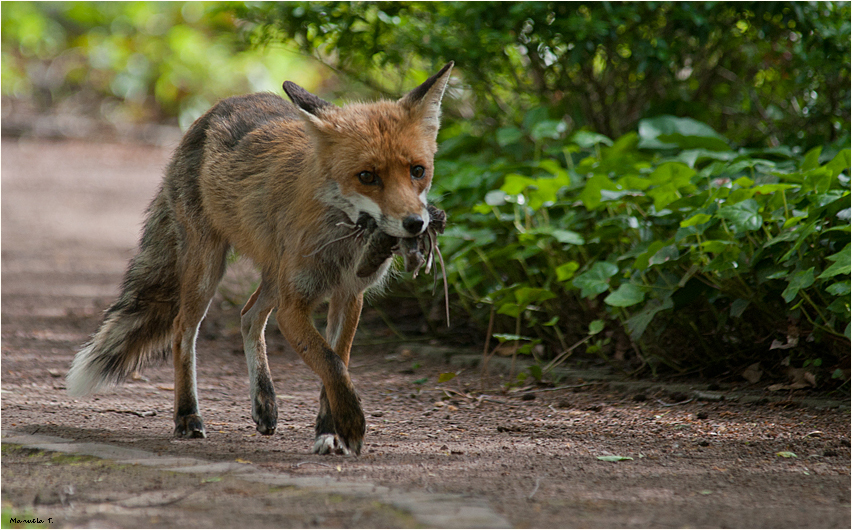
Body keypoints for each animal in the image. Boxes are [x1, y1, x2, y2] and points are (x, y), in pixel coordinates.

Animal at [66, 60, 452, 454]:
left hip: (273, 276)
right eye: (367, 176)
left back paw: (264, 401)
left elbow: (337, 362)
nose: (416, 224)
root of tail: (218, 106)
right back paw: (188, 416)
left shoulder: (349, 295)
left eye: (418, 171)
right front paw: (350, 424)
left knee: (248, 315)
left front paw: (329, 430)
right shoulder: (293, 307)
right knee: (182, 330)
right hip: (208, 271)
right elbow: (330, 363)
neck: (343, 244)